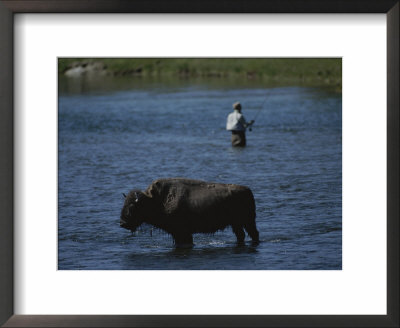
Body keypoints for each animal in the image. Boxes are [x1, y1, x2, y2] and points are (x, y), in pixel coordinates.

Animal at [119, 179, 260, 246]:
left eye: (132, 206)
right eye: (124, 204)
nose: (122, 223)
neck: (156, 199)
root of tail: (248, 190)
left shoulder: (183, 232)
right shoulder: (177, 234)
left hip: (248, 221)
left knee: (253, 234)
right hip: (237, 224)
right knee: (241, 235)